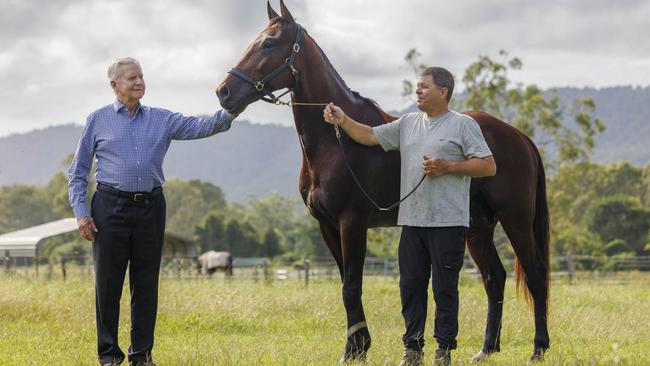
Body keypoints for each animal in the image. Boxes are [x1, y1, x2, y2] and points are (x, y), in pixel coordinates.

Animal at [216, 0, 548, 362]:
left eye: (269, 43)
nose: (224, 92)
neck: (336, 142)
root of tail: (520, 138)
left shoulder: (352, 222)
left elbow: (352, 286)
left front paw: (354, 351)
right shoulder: (327, 226)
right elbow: (345, 283)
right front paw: (358, 346)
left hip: (516, 219)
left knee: (535, 275)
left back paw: (538, 349)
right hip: (477, 226)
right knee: (494, 277)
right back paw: (486, 350)